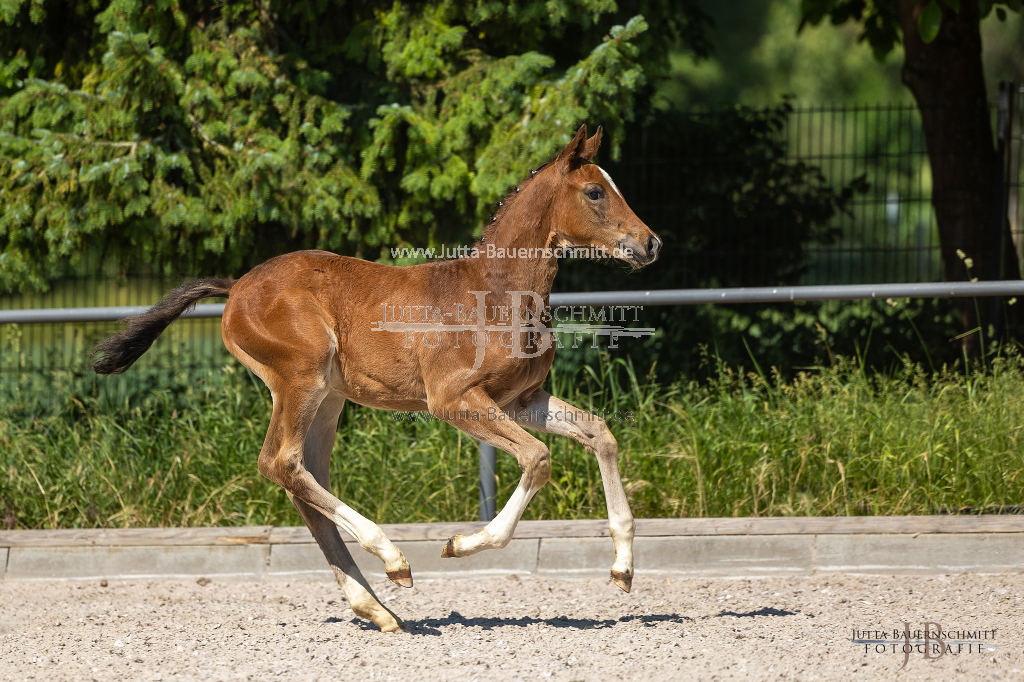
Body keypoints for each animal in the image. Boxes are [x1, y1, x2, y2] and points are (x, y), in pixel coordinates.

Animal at [94, 124, 655, 630]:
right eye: (595, 191)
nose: (650, 244)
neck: (497, 293)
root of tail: (235, 289)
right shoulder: (453, 400)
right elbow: (537, 459)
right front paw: (460, 544)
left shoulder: (520, 399)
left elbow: (599, 432)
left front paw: (623, 571)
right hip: (300, 380)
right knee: (280, 463)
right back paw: (392, 560)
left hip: (329, 399)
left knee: (304, 479)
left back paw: (376, 609)